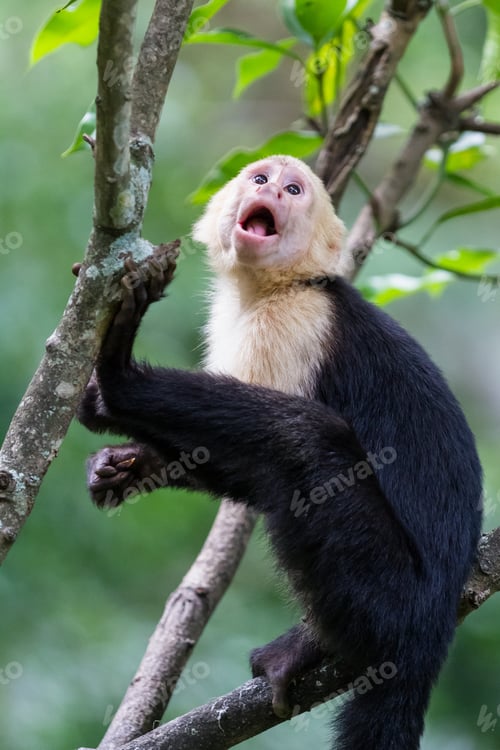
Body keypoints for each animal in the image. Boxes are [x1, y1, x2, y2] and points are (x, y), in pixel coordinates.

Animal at [78, 155, 483, 750]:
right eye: (261, 180)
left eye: (294, 190)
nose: (273, 186)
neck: (278, 287)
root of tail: (434, 627)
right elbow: (234, 468)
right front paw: (127, 465)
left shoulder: (296, 325)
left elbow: (264, 452)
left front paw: (118, 385)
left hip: (395, 595)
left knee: (307, 440)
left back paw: (320, 646)